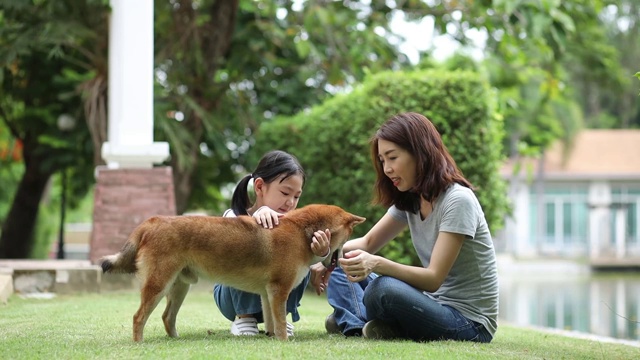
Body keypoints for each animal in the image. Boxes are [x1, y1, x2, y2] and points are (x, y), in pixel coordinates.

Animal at [97, 204, 362, 342]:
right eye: (349, 234)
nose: (349, 251)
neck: (301, 232)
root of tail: (151, 221)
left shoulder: (268, 294)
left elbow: (272, 321)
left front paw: (271, 339)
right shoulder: (279, 290)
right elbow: (280, 321)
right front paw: (284, 343)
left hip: (179, 287)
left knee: (166, 317)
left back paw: (176, 339)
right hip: (158, 285)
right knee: (138, 317)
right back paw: (139, 344)